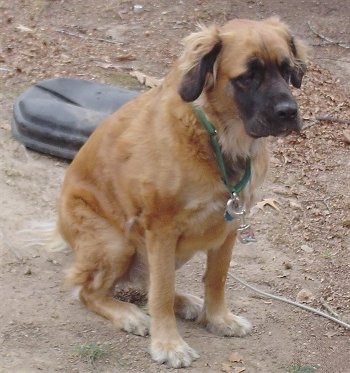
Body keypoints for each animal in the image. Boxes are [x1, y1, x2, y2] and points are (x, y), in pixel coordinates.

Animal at [54, 16, 306, 366]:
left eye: (286, 70)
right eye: (248, 77)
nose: (288, 112)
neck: (217, 137)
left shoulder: (229, 224)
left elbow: (216, 278)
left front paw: (218, 319)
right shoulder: (161, 229)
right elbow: (160, 293)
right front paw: (169, 344)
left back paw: (185, 301)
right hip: (116, 242)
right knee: (89, 291)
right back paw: (128, 313)